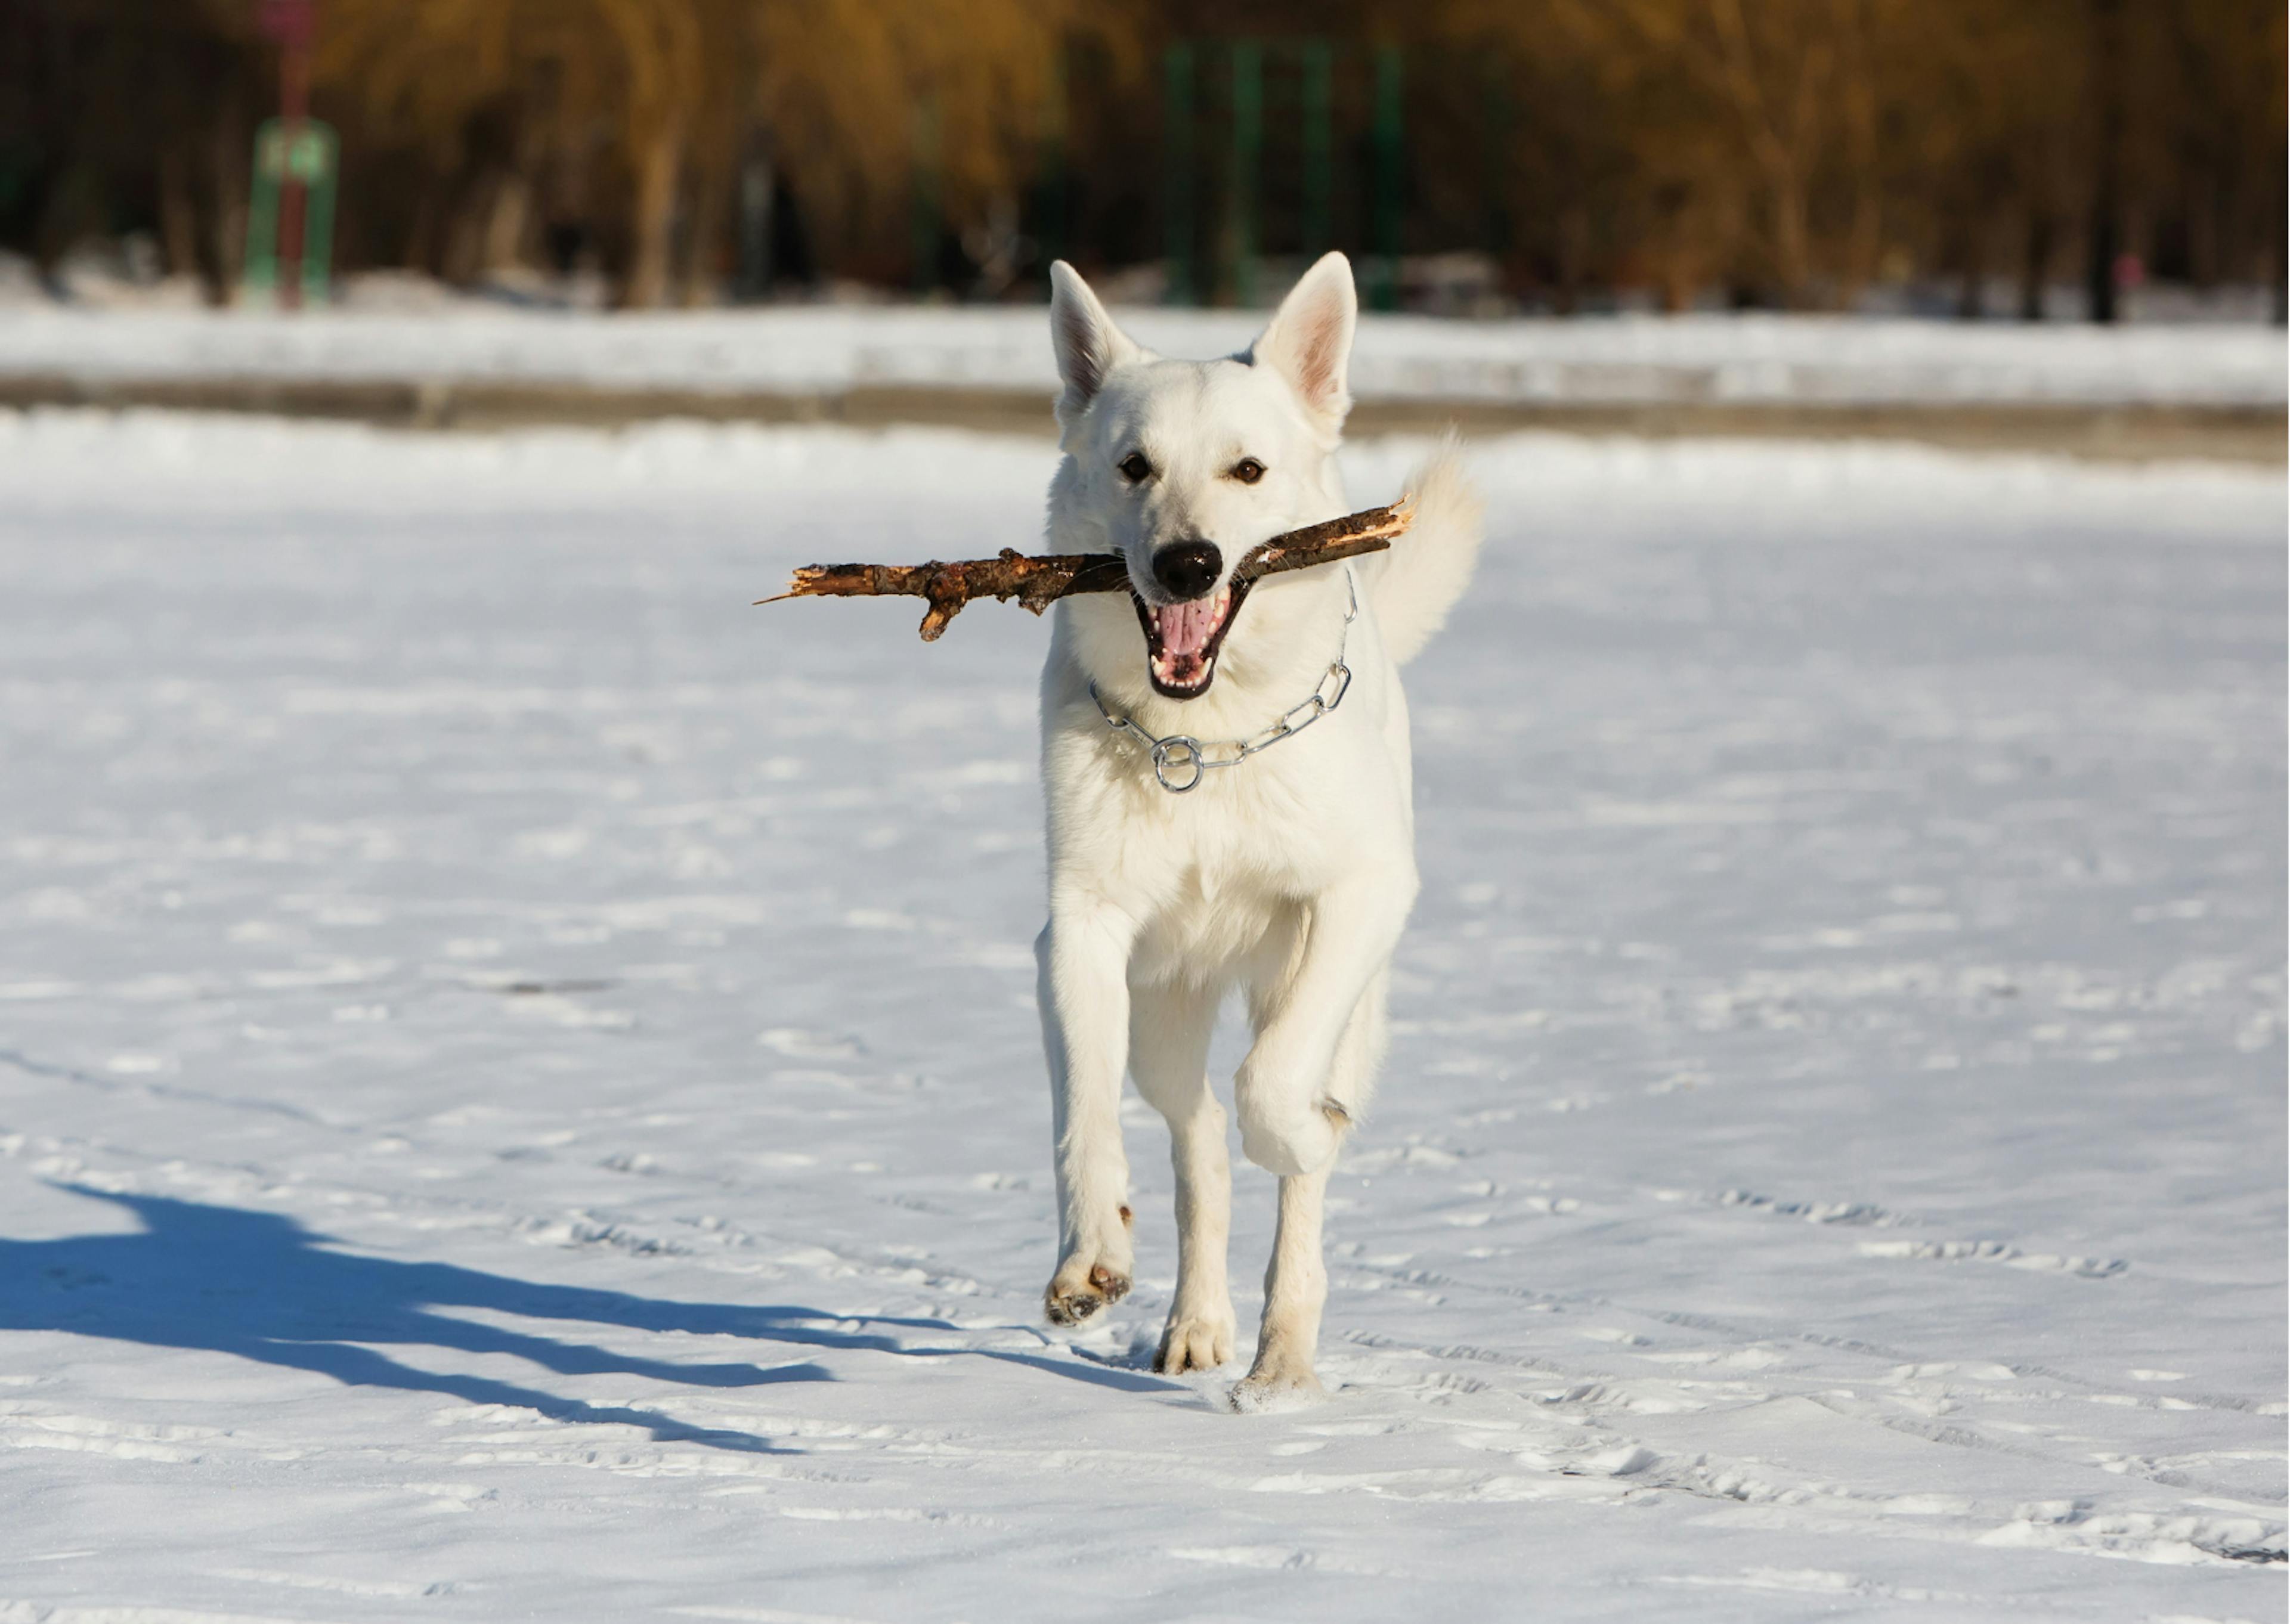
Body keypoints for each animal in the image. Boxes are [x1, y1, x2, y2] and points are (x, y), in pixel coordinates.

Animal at [1039, 253, 1484, 1402]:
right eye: (1134, 466)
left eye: (1248, 470)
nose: (1189, 564)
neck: (1207, 742)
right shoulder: (1079, 927)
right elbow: (1085, 1107)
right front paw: (1089, 1255)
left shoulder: (1361, 896)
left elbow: (1276, 1088)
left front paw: (1304, 1132)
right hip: (1164, 1003)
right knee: (1195, 1137)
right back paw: (1197, 1322)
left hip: (1338, 999)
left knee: (1284, 1158)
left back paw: (1283, 1354)